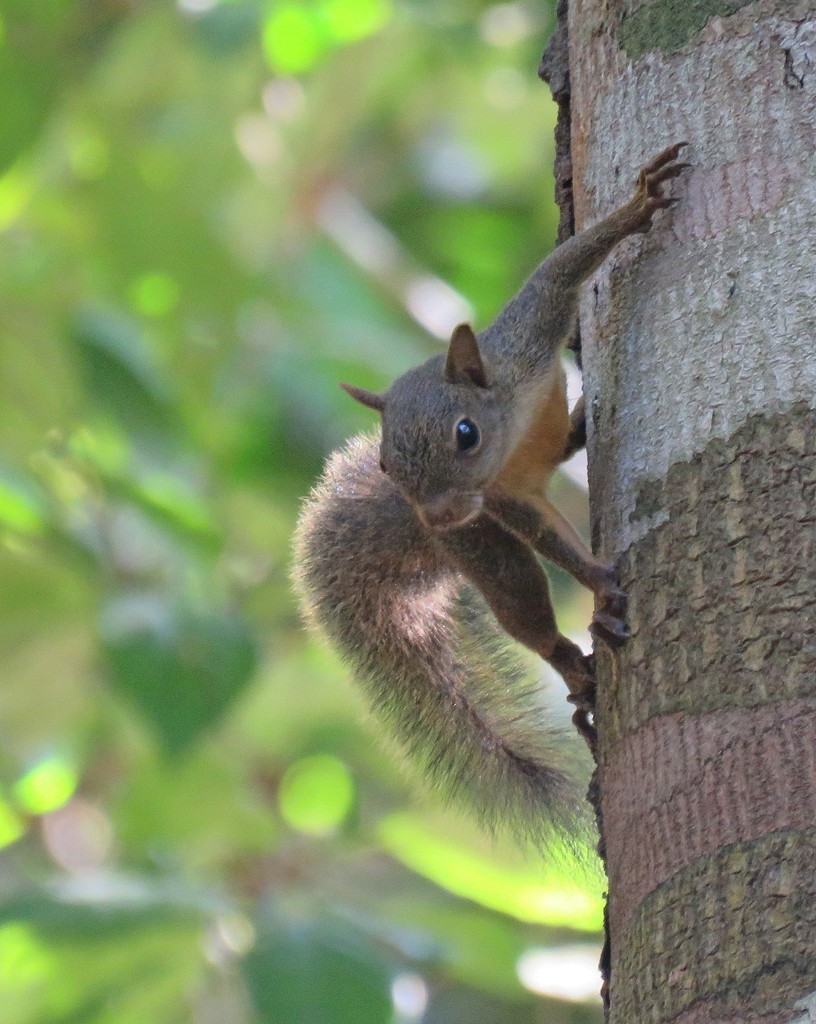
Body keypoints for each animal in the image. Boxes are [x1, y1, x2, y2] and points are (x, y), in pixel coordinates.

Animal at [293, 144, 689, 845]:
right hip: (482, 550)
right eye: (387, 464)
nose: (441, 516)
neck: (510, 434)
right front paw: (598, 580)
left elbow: (559, 272)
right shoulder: (504, 501)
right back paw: (575, 666)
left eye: (465, 433)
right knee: (524, 606)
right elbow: (545, 537)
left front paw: (637, 207)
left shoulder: (527, 336)